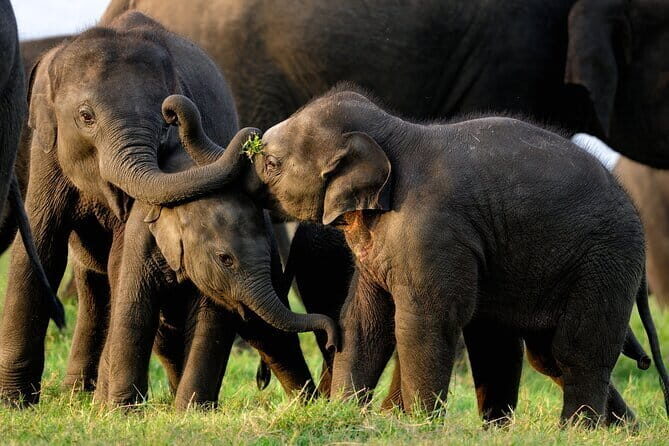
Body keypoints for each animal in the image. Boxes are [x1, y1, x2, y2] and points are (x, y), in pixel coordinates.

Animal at [0, 11, 264, 406]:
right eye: (86, 116)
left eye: (164, 122)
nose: (175, 110)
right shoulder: (45, 152)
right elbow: (39, 246)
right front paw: (14, 403)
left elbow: (122, 258)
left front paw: (105, 406)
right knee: (92, 286)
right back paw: (77, 393)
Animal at [175, 87, 669, 426]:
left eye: (272, 163)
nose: (252, 135)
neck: (394, 131)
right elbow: (365, 319)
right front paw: (350, 416)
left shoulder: (431, 230)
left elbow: (425, 320)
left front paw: (415, 424)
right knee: (542, 352)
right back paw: (619, 430)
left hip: (605, 259)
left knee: (577, 348)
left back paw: (576, 429)